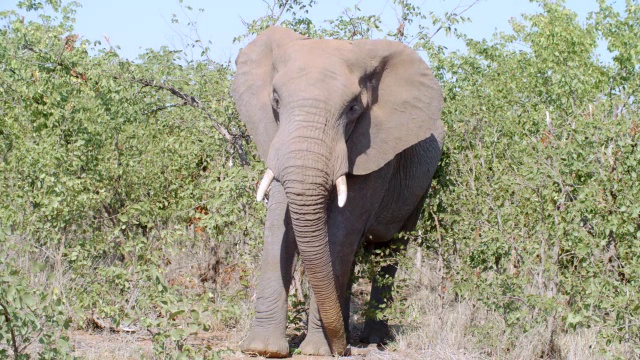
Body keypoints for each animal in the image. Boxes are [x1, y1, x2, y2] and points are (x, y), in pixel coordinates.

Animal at [231, 26, 444, 358]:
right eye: (276, 100)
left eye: (353, 108)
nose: (341, 346)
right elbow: (278, 222)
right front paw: (262, 349)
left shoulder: (373, 150)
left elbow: (341, 230)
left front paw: (317, 351)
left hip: (421, 184)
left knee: (389, 248)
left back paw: (371, 340)